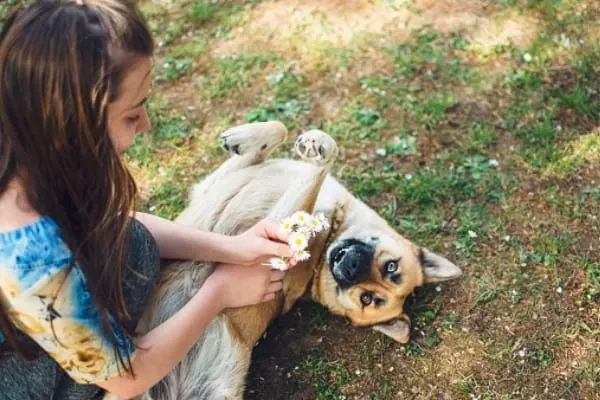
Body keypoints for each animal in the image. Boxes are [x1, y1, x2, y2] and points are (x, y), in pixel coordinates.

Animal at [137, 122, 464, 400]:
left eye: (367, 299)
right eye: (391, 267)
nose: (350, 268)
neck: (327, 242)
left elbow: (319, 167)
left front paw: (320, 151)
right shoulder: (212, 185)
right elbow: (277, 131)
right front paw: (245, 138)